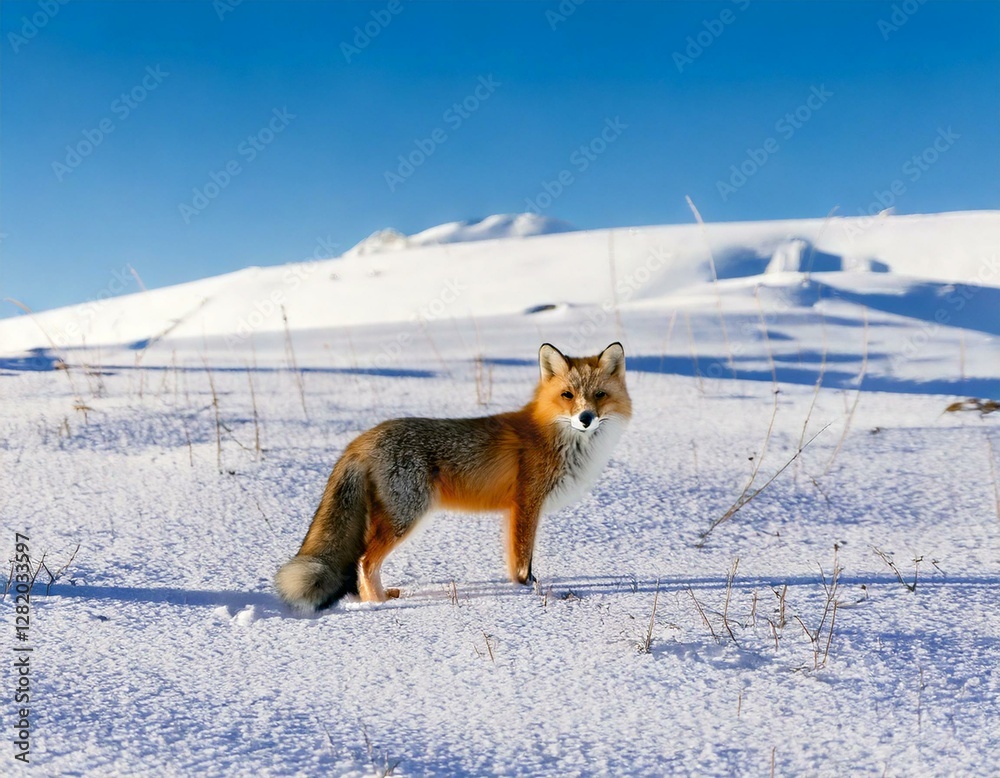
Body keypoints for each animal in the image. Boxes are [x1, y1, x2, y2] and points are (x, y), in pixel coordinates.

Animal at [274, 342, 631, 610]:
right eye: (567, 395)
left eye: (599, 395)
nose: (586, 418)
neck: (556, 437)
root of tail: (362, 438)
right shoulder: (527, 504)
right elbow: (523, 563)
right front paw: (525, 593)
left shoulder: (513, 511)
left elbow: (514, 558)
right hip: (406, 515)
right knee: (365, 560)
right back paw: (377, 603)